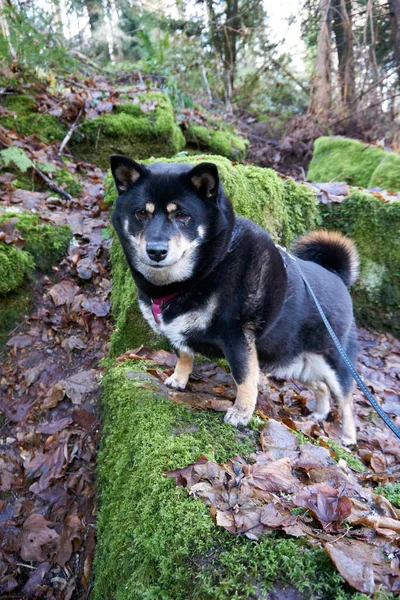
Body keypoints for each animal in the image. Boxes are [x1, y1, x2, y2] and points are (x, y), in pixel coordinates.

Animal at [110, 155, 360, 446]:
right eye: (141, 214)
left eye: (182, 216)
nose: (156, 251)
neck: (210, 267)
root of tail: (337, 276)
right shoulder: (179, 334)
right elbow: (184, 355)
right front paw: (178, 379)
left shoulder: (237, 338)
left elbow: (244, 378)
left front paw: (241, 413)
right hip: (295, 364)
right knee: (321, 386)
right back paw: (319, 414)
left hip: (334, 362)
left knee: (346, 398)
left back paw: (348, 436)